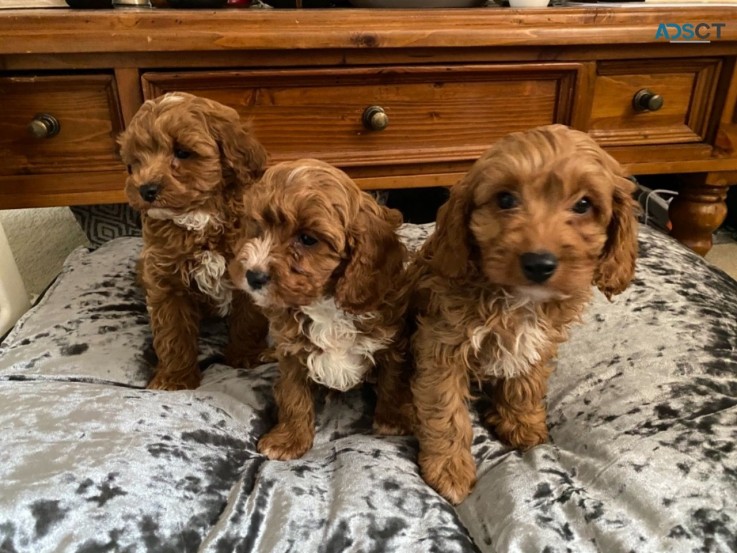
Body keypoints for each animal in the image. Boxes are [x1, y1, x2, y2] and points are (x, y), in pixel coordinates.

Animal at [119, 91, 268, 388]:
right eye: (136, 161)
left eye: (182, 152)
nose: (145, 189)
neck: (200, 218)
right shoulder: (166, 283)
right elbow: (173, 334)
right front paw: (174, 380)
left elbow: (247, 321)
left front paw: (244, 356)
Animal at [229, 157, 408, 460]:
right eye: (259, 229)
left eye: (307, 239)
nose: (253, 276)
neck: (326, 302)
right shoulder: (291, 351)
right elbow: (293, 394)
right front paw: (289, 440)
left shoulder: (390, 340)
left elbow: (392, 380)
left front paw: (393, 420)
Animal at [408, 125, 640, 504]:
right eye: (505, 200)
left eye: (584, 204)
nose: (539, 263)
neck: (518, 300)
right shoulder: (441, 344)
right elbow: (446, 410)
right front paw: (449, 468)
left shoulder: (539, 340)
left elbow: (526, 380)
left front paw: (521, 422)